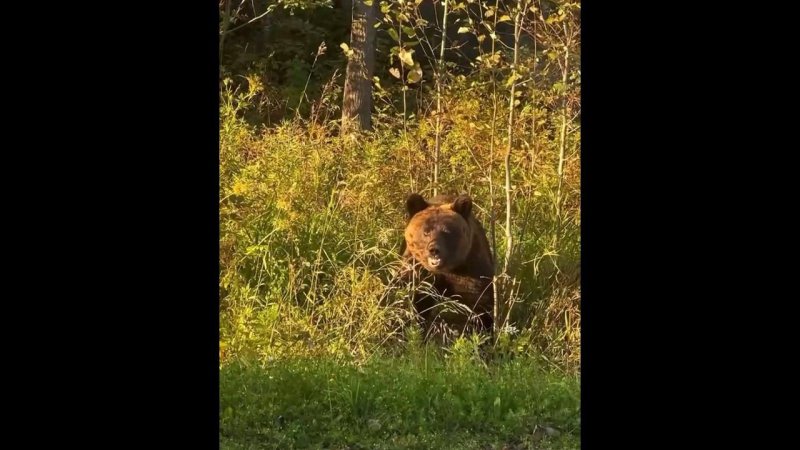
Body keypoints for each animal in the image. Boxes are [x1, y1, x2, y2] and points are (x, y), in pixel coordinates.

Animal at [400, 192, 494, 342]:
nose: (434, 249)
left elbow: (480, 305)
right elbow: (412, 300)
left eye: (446, 231)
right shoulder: (417, 270)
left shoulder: (470, 271)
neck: (445, 270)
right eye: (426, 232)